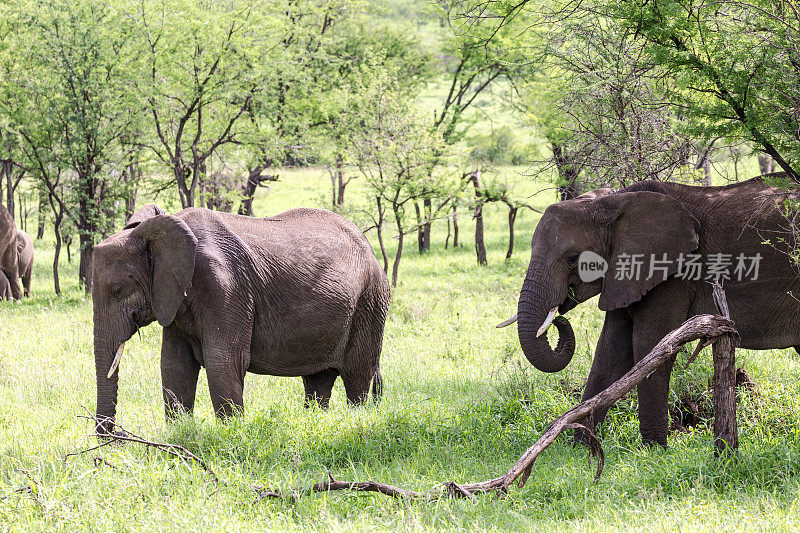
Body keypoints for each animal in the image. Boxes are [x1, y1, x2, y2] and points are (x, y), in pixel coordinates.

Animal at [92, 202, 390, 434]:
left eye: (117, 290)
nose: (116, 437)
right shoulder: (174, 298)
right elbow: (175, 365)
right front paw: (179, 435)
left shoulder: (225, 287)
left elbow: (223, 361)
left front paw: (231, 435)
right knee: (318, 380)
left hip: (370, 300)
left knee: (357, 376)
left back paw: (357, 421)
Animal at [500, 178, 800, 444]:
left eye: (573, 257)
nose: (560, 317)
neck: (615, 201)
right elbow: (610, 352)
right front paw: (581, 445)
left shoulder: (673, 272)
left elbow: (649, 347)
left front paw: (654, 449)